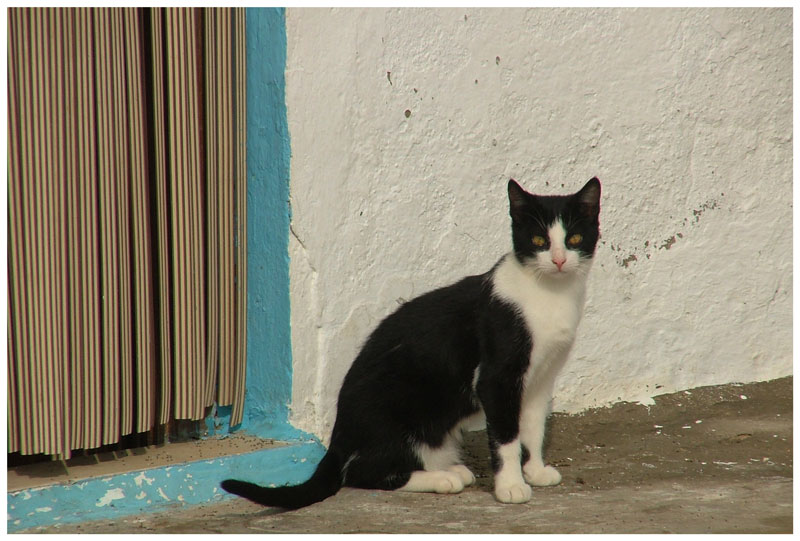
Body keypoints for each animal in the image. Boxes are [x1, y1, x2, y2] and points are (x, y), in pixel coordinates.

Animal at [220, 176, 600, 506]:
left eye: (574, 239)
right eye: (538, 242)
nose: (559, 260)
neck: (549, 296)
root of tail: (339, 437)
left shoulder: (540, 378)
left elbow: (533, 427)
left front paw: (534, 471)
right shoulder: (498, 377)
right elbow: (507, 435)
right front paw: (510, 486)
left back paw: (450, 469)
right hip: (397, 407)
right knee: (362, 473)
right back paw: (441, 478)